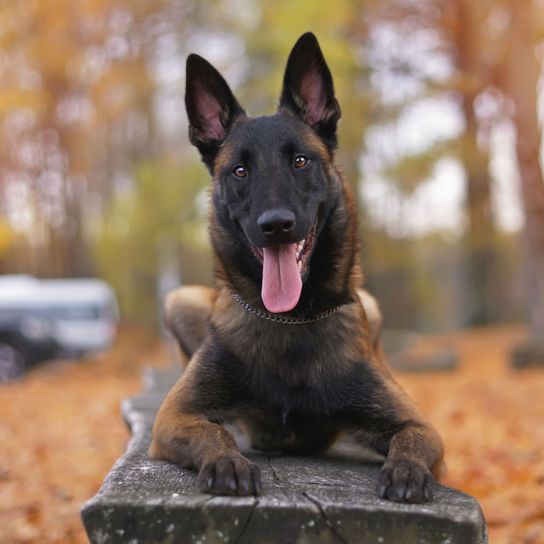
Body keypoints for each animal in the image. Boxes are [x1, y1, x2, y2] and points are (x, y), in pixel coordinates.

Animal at [148, 31, 442, 504]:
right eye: (240, 170)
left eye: (300, 161)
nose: (276, 225)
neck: (291, 322)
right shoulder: (176, 416)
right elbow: (212, 432)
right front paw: (227, 460)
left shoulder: (419, 423)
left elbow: (412, 438)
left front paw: (407, 470)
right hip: (180, 299)